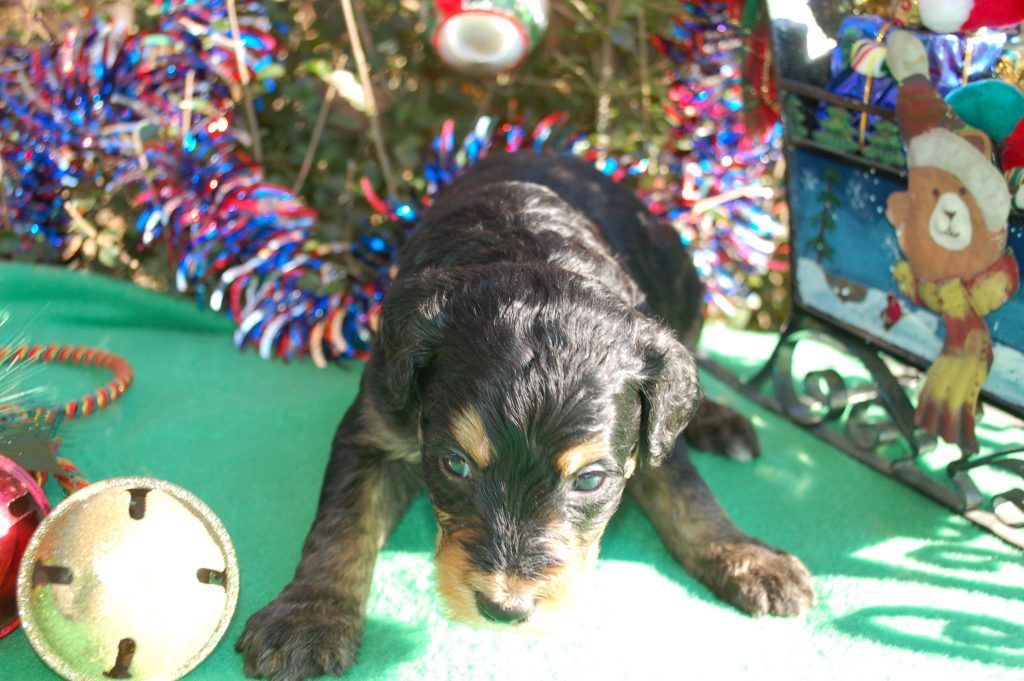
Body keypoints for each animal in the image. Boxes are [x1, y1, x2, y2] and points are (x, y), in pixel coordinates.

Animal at [236, 152, 816, 680]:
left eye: (590, 481)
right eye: (454, 465)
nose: (503, 609)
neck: (527, 244)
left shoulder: (646, 435)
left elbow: (689, 495)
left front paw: (748, 558)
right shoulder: (375, 422)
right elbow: (343, 522)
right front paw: (309, 617)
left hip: (682, 286)